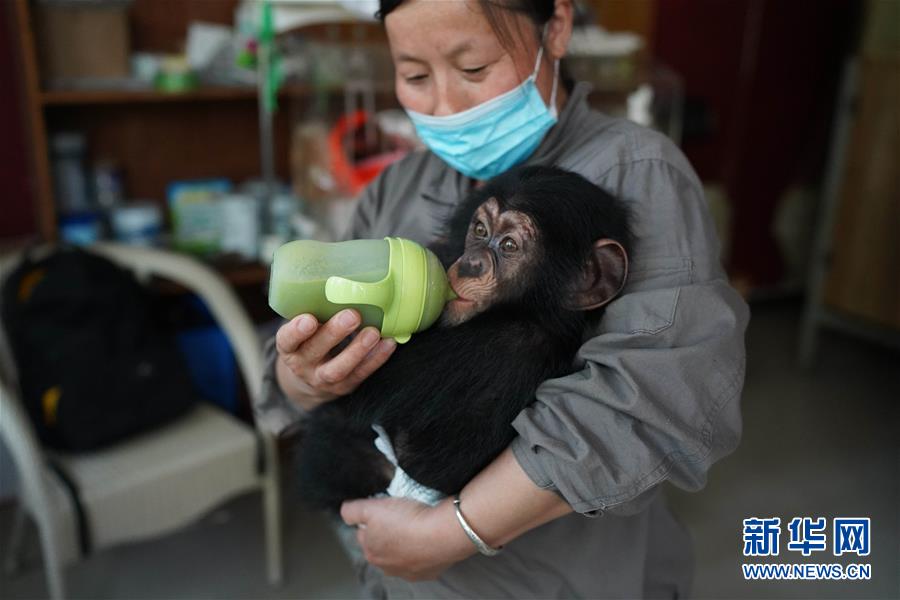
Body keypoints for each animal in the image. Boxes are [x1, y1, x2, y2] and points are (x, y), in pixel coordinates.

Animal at [298, 165, 632, 510]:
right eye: (481, 230)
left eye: (509, 246)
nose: (471, 263)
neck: (522, 310)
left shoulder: (516, 349)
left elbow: (418, 459)